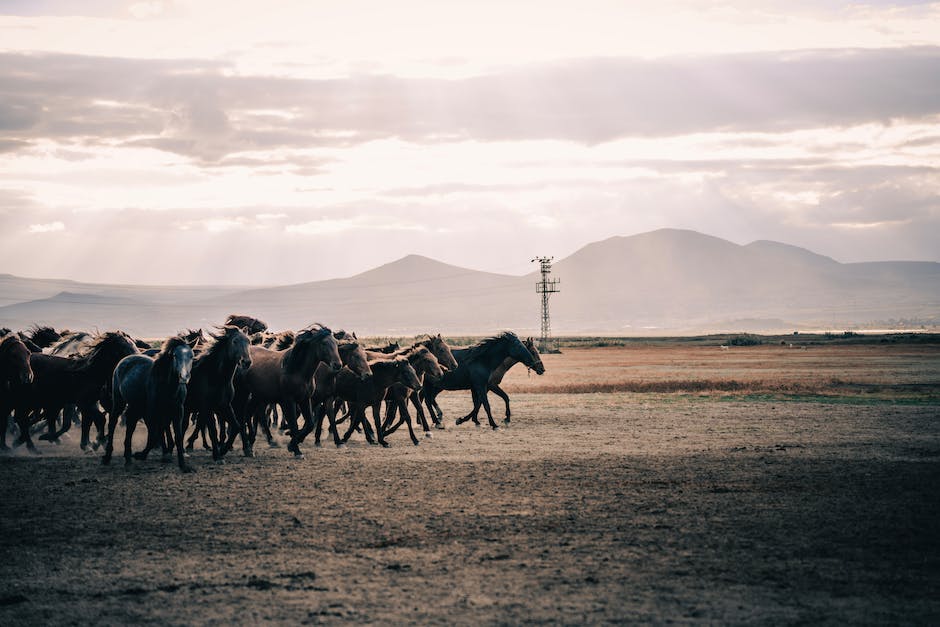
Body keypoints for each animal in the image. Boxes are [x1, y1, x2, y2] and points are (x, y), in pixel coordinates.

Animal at [103, 336, 195, 474]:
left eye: (191, 356)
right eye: (174, 355)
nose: (184, 377)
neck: (167, 386)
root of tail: (123, 361)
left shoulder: (177, 411)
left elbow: (177, 437)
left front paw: (183, 465)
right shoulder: (153, 412)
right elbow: (154, 435)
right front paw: (141, 455)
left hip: (135, 406)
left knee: (130, 427)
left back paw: (128, 459)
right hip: (119, 402)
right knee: (113, 423)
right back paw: (108, 457)